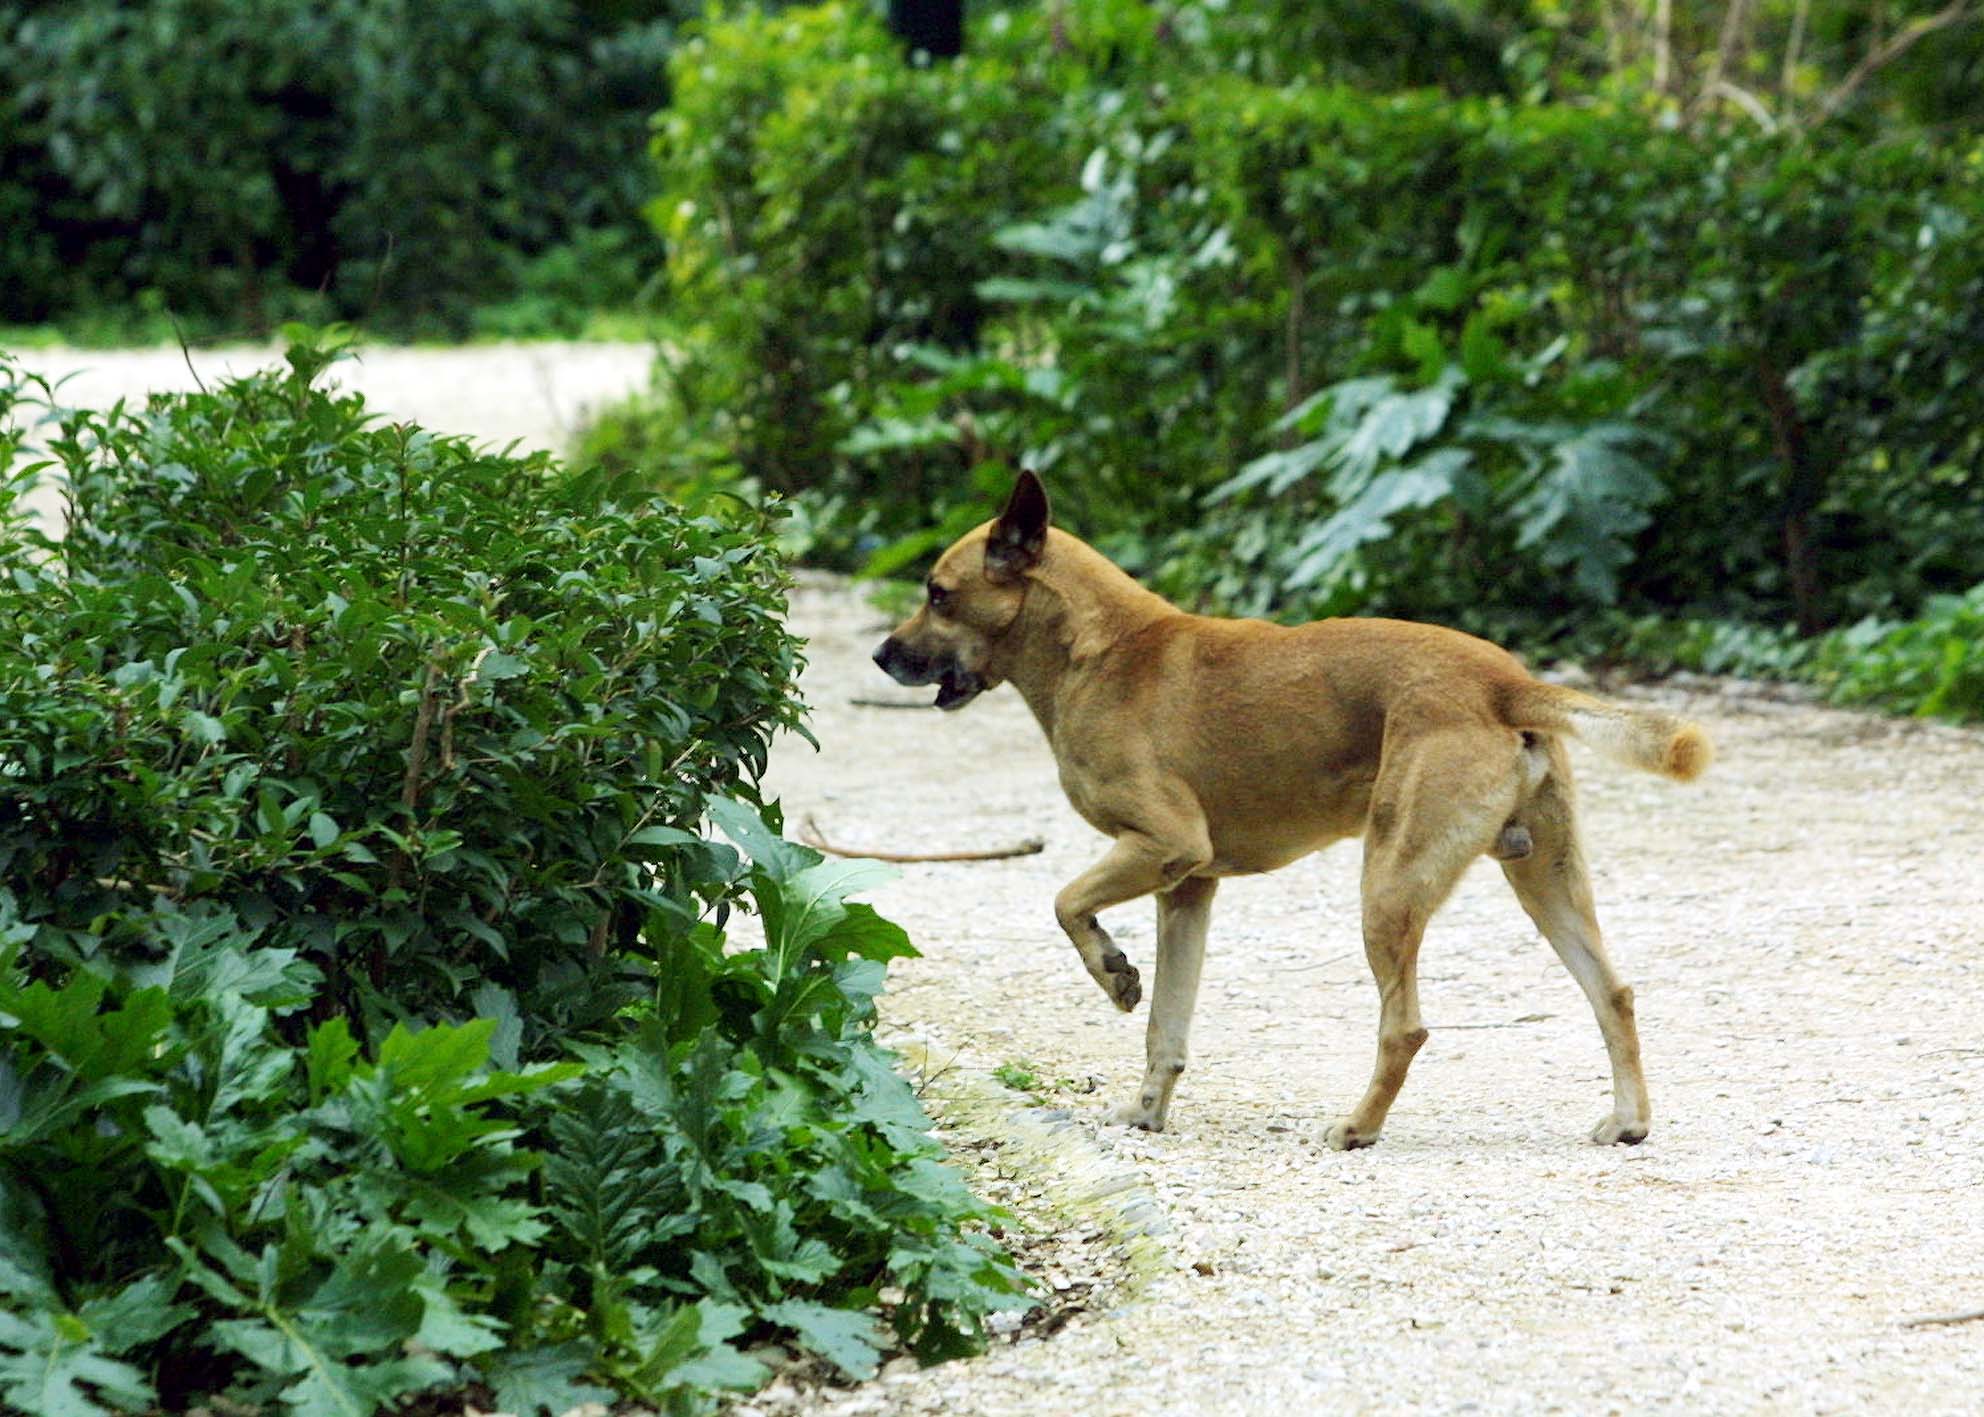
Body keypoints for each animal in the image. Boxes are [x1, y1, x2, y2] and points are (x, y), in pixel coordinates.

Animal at [876, 468, 1714, 1143]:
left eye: (938, 595)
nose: (882, 655)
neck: (1099, 648)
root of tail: (1504, 680)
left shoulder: (1163, 844)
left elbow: (1066, 903)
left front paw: (1114, 971)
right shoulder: (1188, 887)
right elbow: (1165, 1028)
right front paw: (1147, 1111)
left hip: (1389, 886)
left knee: (1405, 1028)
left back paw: (1358, 1127)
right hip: (1544, 881)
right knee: (1613, 992)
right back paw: (1628, 1119)